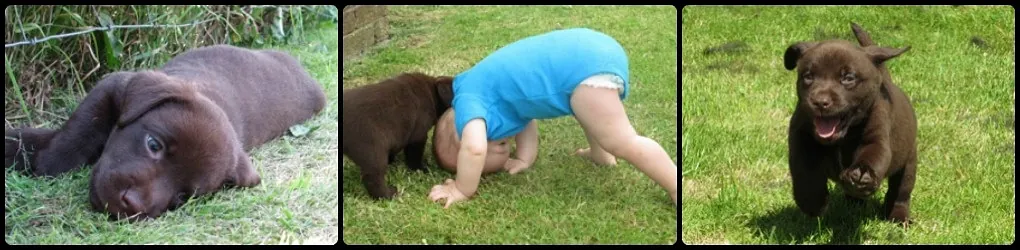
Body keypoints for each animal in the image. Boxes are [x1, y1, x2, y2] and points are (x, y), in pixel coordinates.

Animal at [3, 43, 322, 219]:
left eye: (182, 197)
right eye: (153, 145)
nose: (131, 204)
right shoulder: (113, 85)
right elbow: (80, 129)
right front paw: (41, 156)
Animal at [783, 22, 922, 223]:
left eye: (848, 78)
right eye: (808, 76)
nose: (820, 102)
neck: (842, 137)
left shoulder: (877, 137)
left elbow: (873, 154)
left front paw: (862, 174)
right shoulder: (801, 137)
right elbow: (805, 172)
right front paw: (812, 202)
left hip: (909, 160)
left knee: (900, 192)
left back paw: (898, 217)